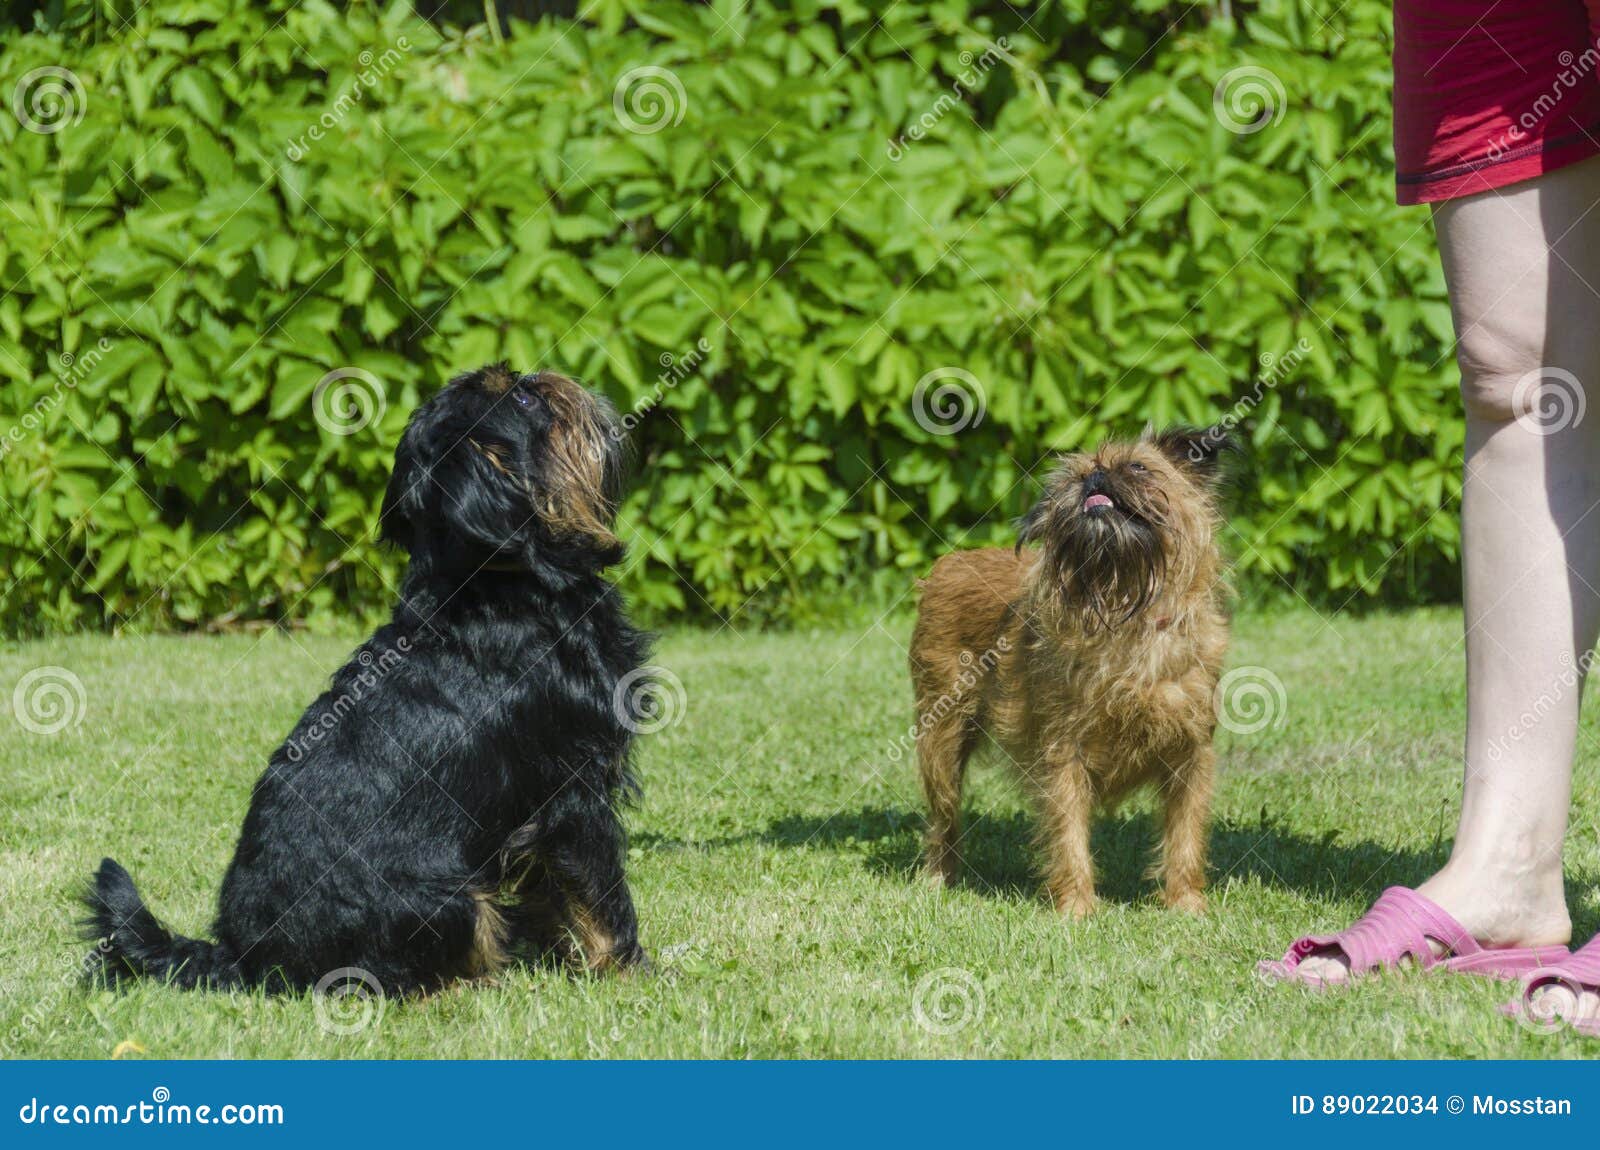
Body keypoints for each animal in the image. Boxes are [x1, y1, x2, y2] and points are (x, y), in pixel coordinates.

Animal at [79, 364, 656, 991]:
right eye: (522, 398)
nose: (538, 375)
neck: (501, 585)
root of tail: (241, 954)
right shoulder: (573, 792)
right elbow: (601, 894)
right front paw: (629, 970)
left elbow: (552, 895)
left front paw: (563, 959)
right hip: (449, 896)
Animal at [908, 428, 1228, 914]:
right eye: (1077, 475)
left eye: (1138, 467)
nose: (1095, 477)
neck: (1124, 608)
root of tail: (949, 563)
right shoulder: (1063, 752)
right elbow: (1068, 831)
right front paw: (1076, 907)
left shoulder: (1190, 754)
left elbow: (1185, 835)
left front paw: (1185, 904)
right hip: (942, 738)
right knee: (945, 816)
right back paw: (939, 878)